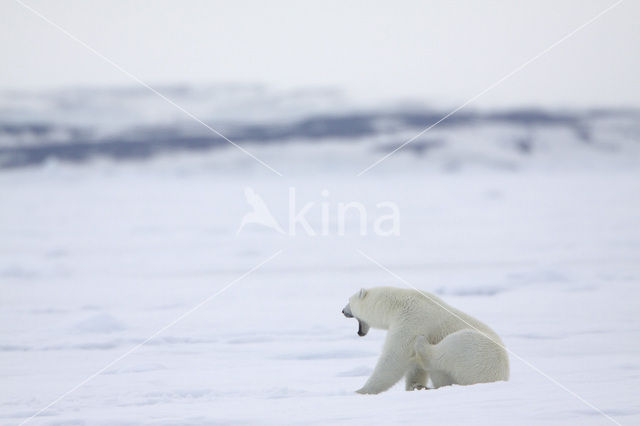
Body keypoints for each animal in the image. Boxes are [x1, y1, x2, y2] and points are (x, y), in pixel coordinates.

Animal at [342, 288, 508, 394]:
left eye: (349, 301)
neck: (397, 304)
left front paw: (361, 391)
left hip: (478, 353)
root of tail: (503, 376)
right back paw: (422, 386)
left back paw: (421, 345)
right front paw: (412, 385)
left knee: (451, 348)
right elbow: (414, 367)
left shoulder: (410, 320)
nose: (342, 311)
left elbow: (394, 357)